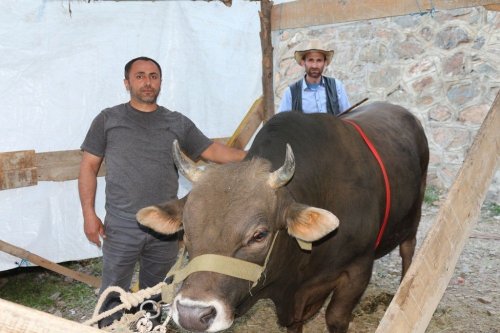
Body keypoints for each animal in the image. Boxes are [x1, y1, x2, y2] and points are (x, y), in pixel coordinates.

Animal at [137, 102, 430, 332]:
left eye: (259, 235)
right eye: (186, 230)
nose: (193, 314)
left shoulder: (357, 269)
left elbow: (335, 318)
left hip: (413, 217)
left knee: (409, 250)